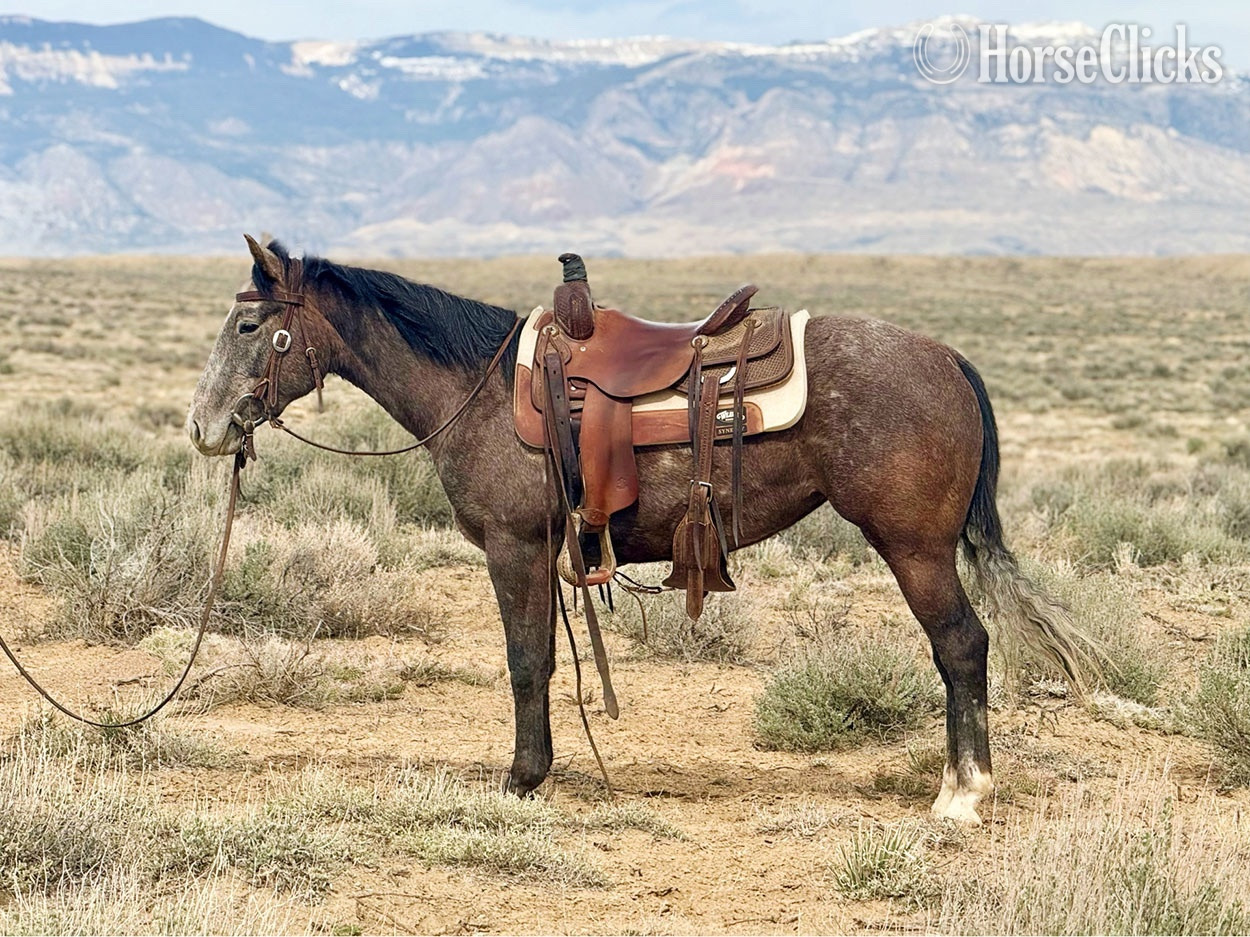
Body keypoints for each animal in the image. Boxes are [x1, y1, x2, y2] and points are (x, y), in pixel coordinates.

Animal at [187, 236, 1096, 825]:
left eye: (248, 326)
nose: (203, 426)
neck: (478, 388)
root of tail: (947, 359)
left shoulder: (514, 548)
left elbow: (526, 661)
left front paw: (522, 777)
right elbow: (546, 659)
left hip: (915, 548)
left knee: (961, 645)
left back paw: (964, 794)